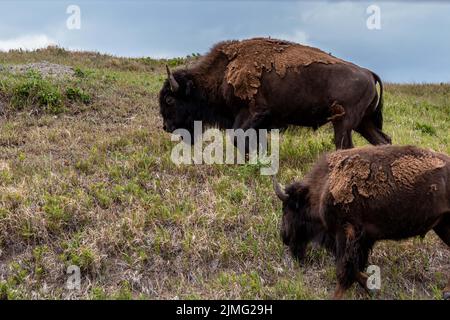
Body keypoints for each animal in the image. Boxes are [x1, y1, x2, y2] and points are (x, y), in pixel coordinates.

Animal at [160, 37, 392, 149]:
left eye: (169, 99)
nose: (166, 127)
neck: (225, 71)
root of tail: (368, 72)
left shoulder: (253, 113)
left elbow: (237, 137)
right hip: (363, 122)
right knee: (383, 140)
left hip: (343, 122)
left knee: (345, 145)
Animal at [272, 146, 450, 300]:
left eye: (288, 210)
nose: (284, 237)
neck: (322, 188)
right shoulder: (362, 240)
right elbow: (354, 267)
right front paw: (373, 287)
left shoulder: (346, 233)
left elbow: (344, 268)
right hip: (442, 225)